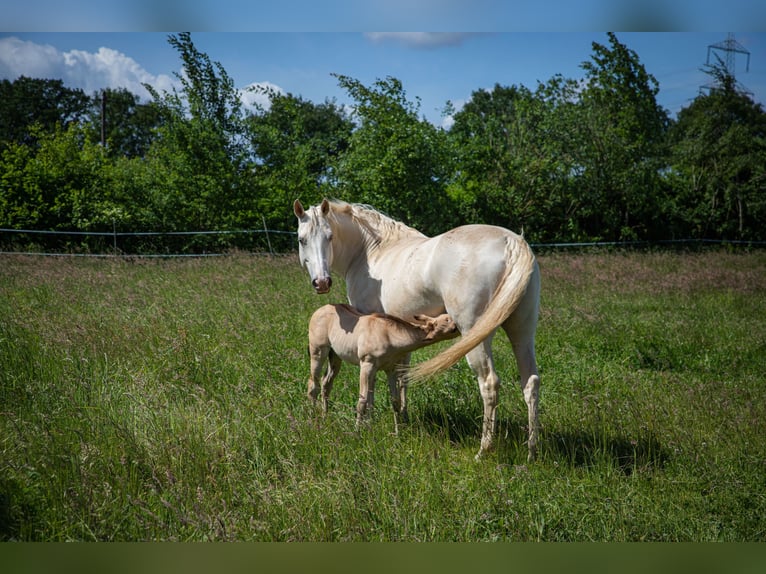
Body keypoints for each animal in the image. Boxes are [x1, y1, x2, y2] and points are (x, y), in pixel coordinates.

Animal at [307, 304, 459, 430]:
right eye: (447, 319)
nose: (458, 325)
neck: (389, 335)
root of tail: (319, 310)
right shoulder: (366, 365)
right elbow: (362, 401)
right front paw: (357, 432)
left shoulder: (390, 369)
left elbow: (395, 401)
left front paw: (397, 433)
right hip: (318, 352)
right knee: (313, 385)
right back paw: (314, 419)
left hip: (335, 357)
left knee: (326, 383)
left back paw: (325, 416)